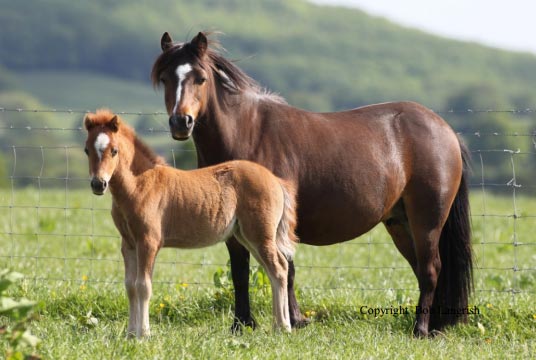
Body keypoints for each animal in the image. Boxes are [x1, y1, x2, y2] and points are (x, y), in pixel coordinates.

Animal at [84, 109, 298, 338]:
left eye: (114, 151)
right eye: (87, 150)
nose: (98, 184)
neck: (140, 185)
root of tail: (275, 180)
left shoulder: (148, 242)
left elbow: (143, 286)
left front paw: (144, 334)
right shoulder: (128, 244)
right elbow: (130, 286)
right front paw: (131, 334)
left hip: (260, 235)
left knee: (278, 268)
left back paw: (284, 327)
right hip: (246, 236)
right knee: (276, 268)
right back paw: (278, 325)